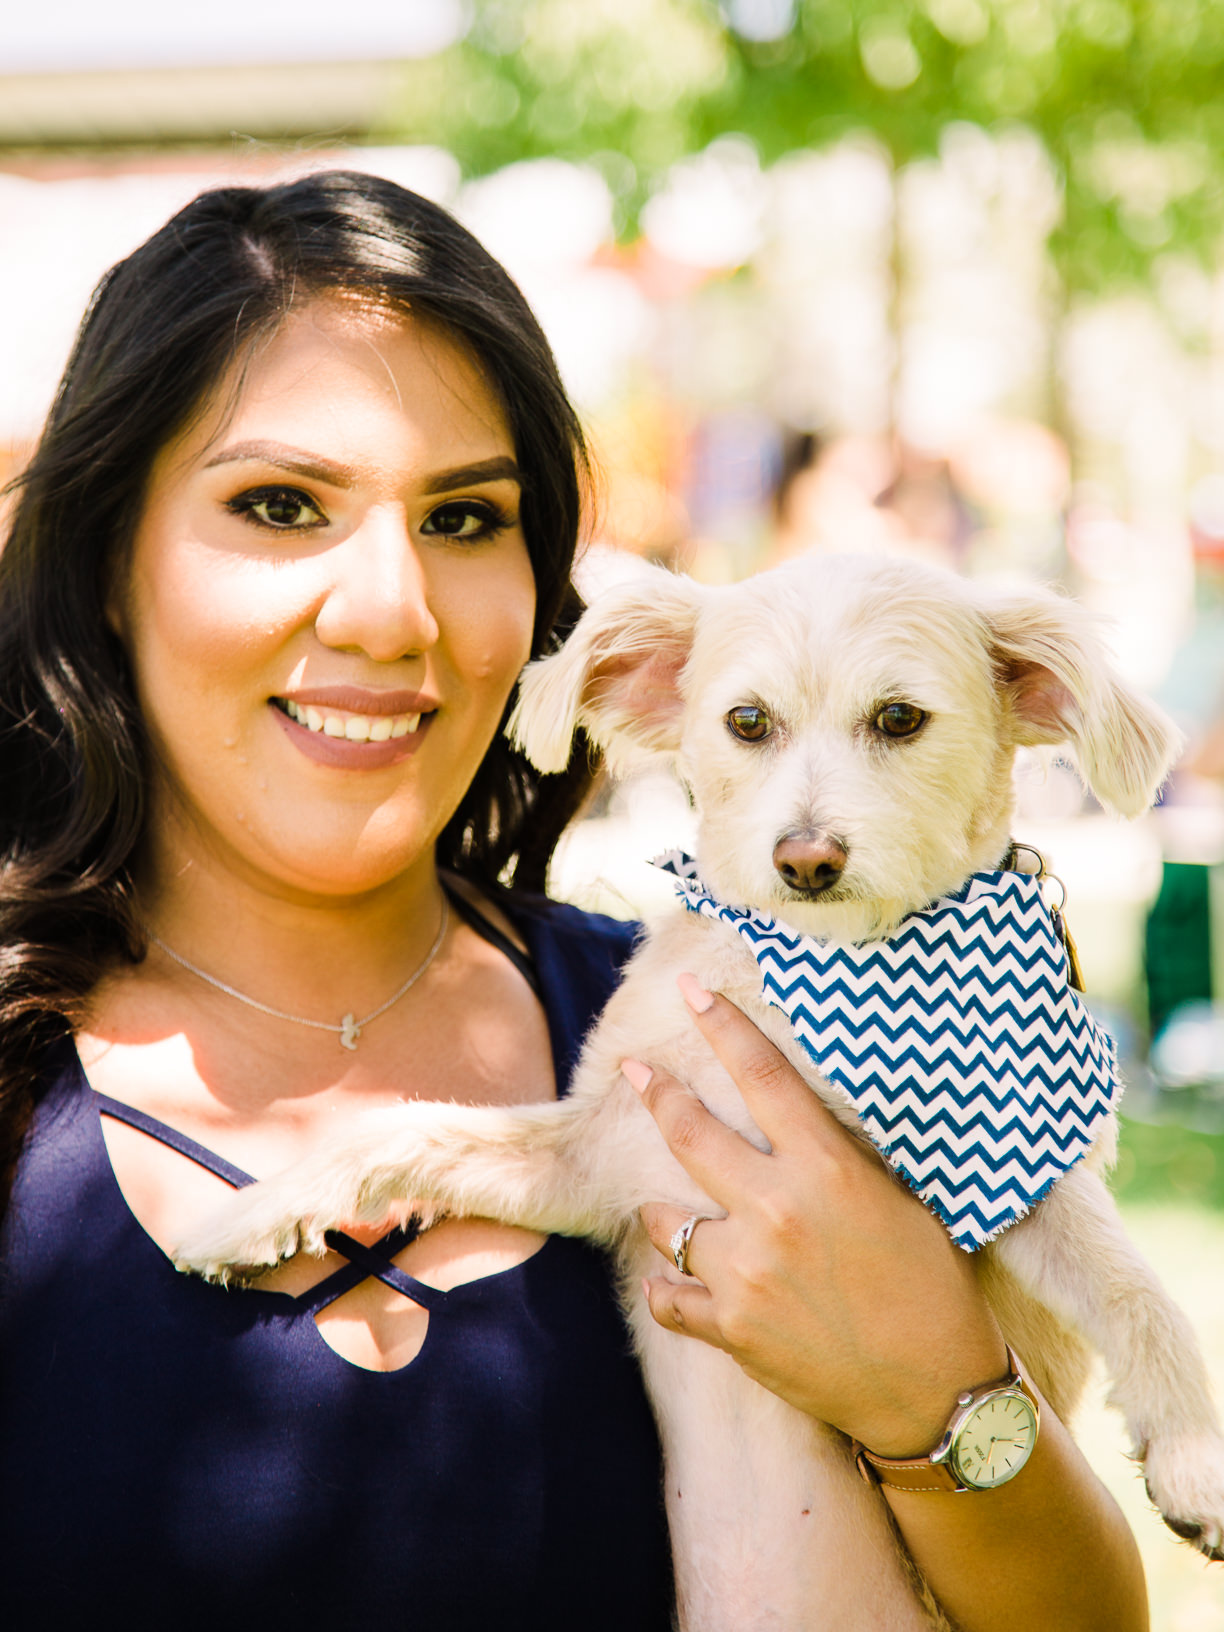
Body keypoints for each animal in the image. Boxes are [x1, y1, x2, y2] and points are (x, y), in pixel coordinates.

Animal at [177, 554, 1224, 1625]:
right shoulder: (607, 1159)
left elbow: (1133, 1287)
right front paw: (255, 1213)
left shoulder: (1010, 1175)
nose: (806, 858)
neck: (808, 980)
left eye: (900, 718)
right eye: (747, 721)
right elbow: (404, 1128)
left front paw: (1194, 1454)